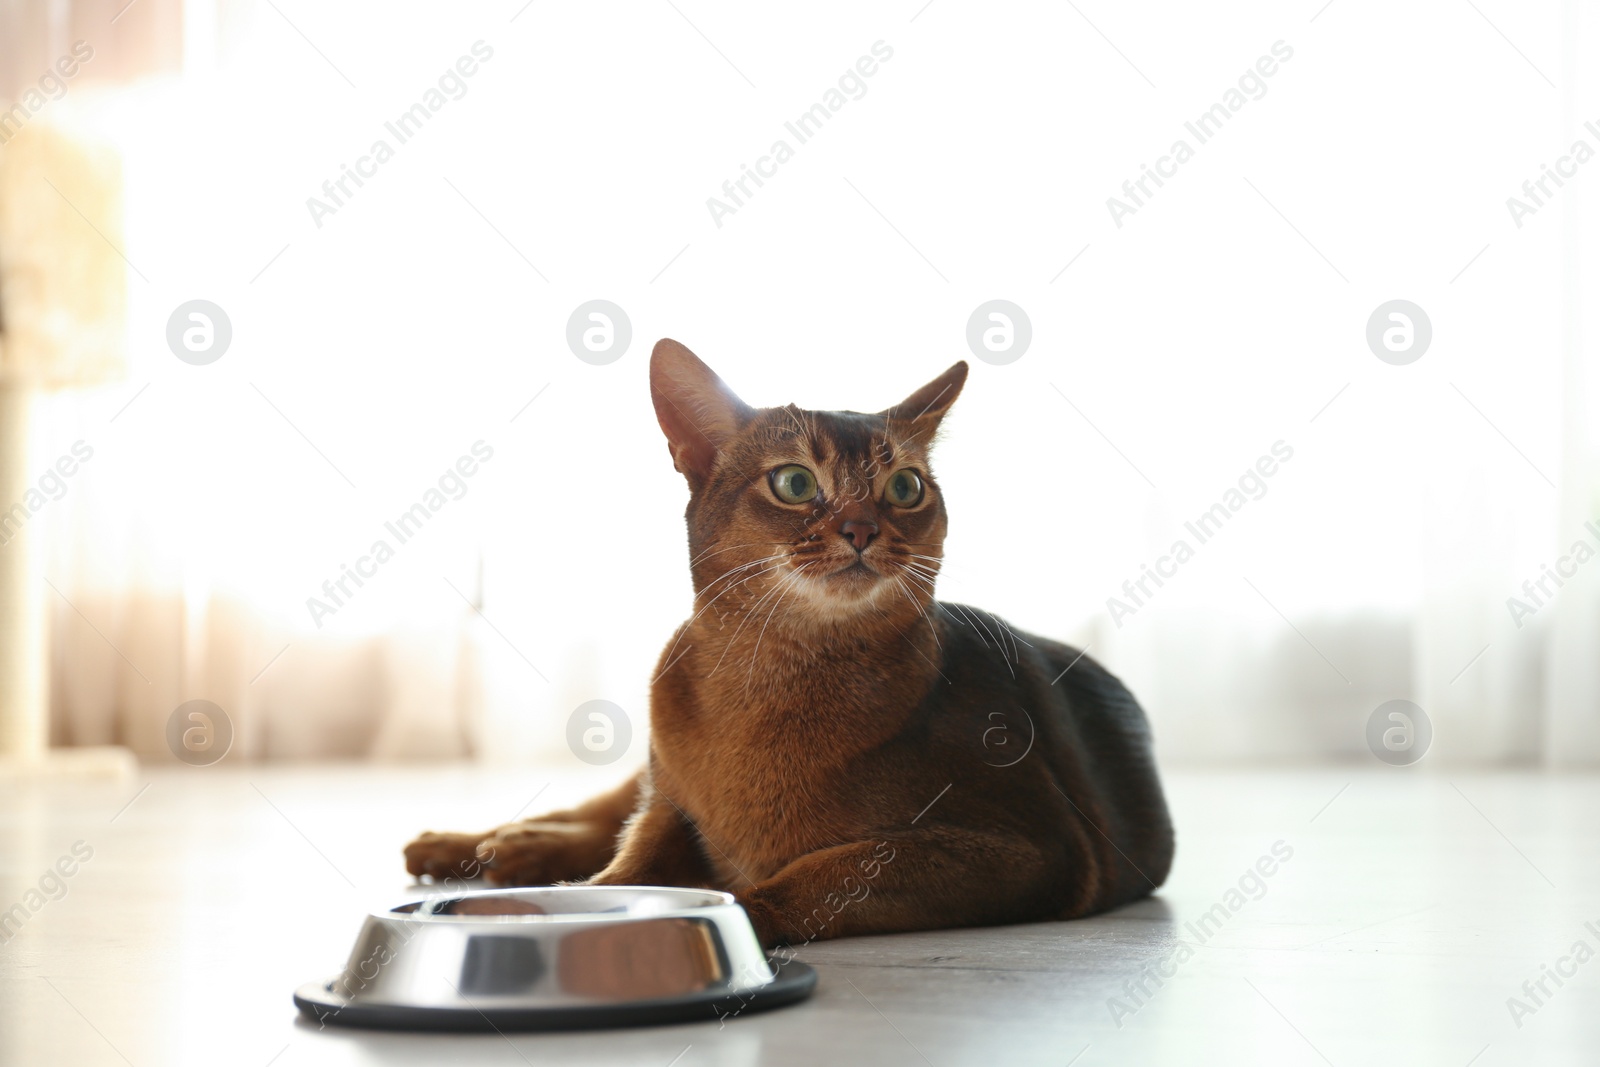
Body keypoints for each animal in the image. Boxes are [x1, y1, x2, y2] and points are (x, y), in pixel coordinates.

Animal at [403, 337, 1177, 947]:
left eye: (906, 487)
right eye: (795, 482)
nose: (863, 528)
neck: (774, 670)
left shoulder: (1036, 848)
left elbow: (822, 870)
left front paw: (728, 911)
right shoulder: (672, 804)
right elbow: (626, 866)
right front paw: (581, 899)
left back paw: (506, 849)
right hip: (649, 770)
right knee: (598, 811)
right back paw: (477, 843)